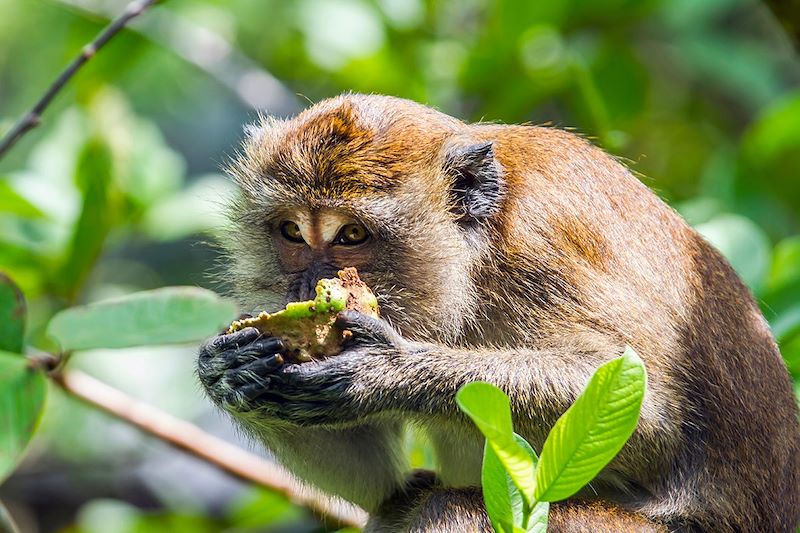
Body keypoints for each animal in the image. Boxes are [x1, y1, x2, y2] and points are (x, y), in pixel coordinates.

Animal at [197, 93, 800, 528]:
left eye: (351, 235)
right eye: (292, 232)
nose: (305, 284)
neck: (477, 257)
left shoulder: (544, 237)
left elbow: (649, 417)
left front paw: (380, 373)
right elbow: (383, 490)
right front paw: (230, 369)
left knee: (445, 507)